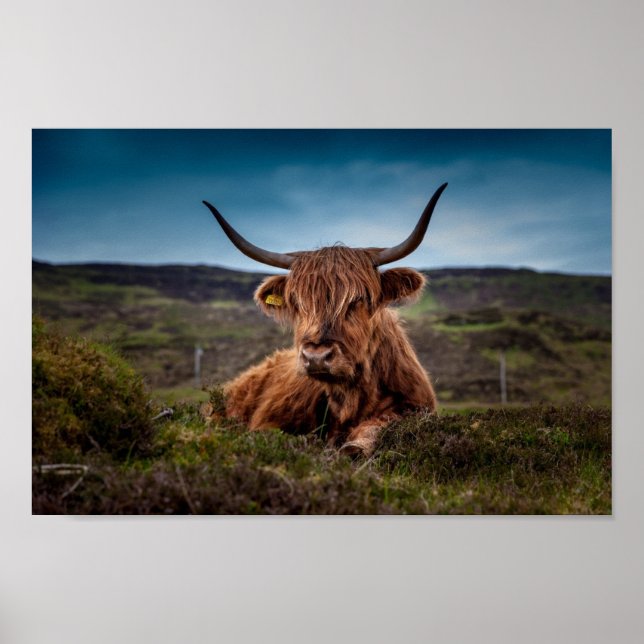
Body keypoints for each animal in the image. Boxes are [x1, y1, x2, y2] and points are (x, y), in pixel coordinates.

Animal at [202, 183, 447, 456]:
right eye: (297, 302)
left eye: (358, 299)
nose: (316, 357)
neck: (350, 399)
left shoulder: (415, 407)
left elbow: (379, 425)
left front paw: (355, 446)